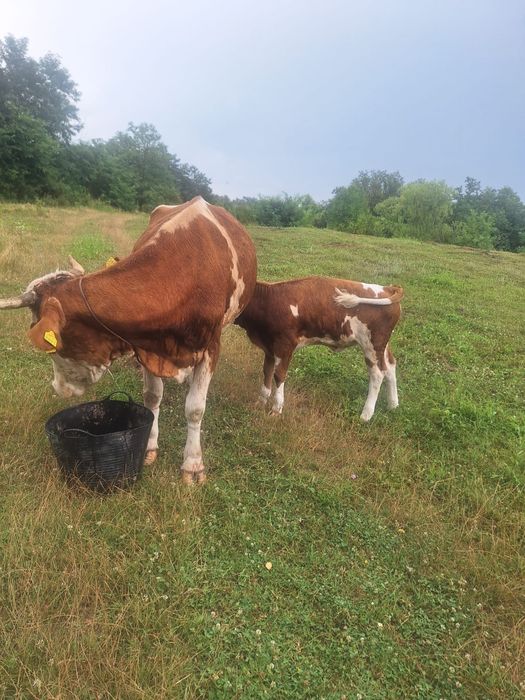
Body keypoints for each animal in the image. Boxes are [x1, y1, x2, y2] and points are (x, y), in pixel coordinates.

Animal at [0, 197, 257, 484]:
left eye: (52, 345)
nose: (58, 388)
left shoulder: (211, 346)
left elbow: (195, 408)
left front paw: (192, 465)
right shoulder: (147, 345)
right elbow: (152, 397)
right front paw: (149, 447)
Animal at [234, 277, 403, 421]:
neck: (267, 300)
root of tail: (388, 288)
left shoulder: (285, 346)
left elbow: (279, 375)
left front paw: (276, 409)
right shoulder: (268, 348)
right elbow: (267, 372)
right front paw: (260, 403)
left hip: (371, 344)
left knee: (377, 374)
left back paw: (366, 415)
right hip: (382, 345)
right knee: (390, 366)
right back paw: (393, 405)